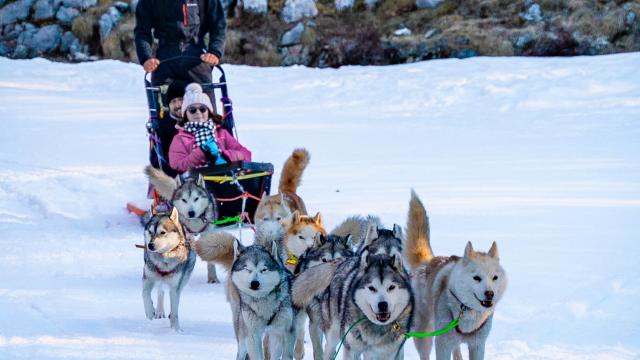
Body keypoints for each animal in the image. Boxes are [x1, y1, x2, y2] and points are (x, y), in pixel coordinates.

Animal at [404, 190, 510, 358]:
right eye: (476, 278)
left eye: (495, 277)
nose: (490, 294)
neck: (468, 312)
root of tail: (427, 262)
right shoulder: (442, 344)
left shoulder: (477, 345)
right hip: (424, 335)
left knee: (457, 350)